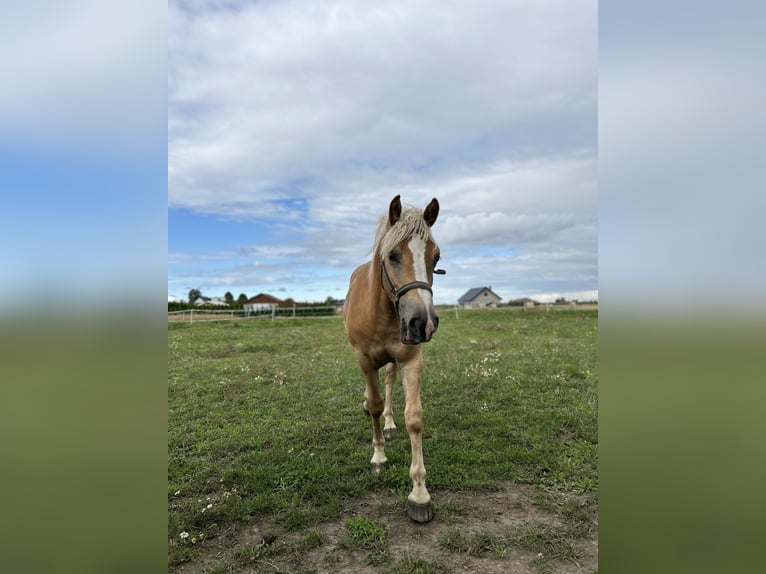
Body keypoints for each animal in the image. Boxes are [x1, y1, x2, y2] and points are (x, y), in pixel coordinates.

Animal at [346, 196, 448, 524]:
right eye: (392, 255)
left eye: (436, 258)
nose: (423, 322)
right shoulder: (365, 360)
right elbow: (375, 403)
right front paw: (378, 456)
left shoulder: (411, 360)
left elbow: (413, 418)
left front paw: (419, 494)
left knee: (390, 382)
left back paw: (390, 424)